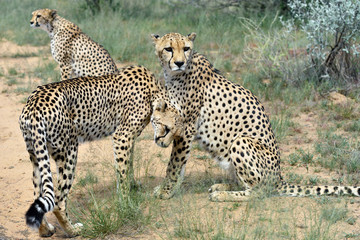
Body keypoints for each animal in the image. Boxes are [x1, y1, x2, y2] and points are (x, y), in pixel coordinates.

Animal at [19, 65, 170, 236]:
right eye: (167, 128)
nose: (163, 143)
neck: (154, 90)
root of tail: (34, 104)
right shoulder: (122, 137)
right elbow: (123, 174)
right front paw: (126, 205)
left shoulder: (129, 139)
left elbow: (129, 164)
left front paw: (133, 185)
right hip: (69, 152)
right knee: (58, 202)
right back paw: (73, 230)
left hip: (36, 155)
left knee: (37, 195)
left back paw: (45, 230)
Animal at [150, 31, 360, 201]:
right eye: (169, 49)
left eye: (186, 48)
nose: (179, 63)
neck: (174, 74)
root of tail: (279, 178)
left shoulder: (186, 127)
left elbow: (175, 164)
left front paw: (165, 192)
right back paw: (222, 186)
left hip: (241, 141)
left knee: (258, 192)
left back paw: (222, 194)